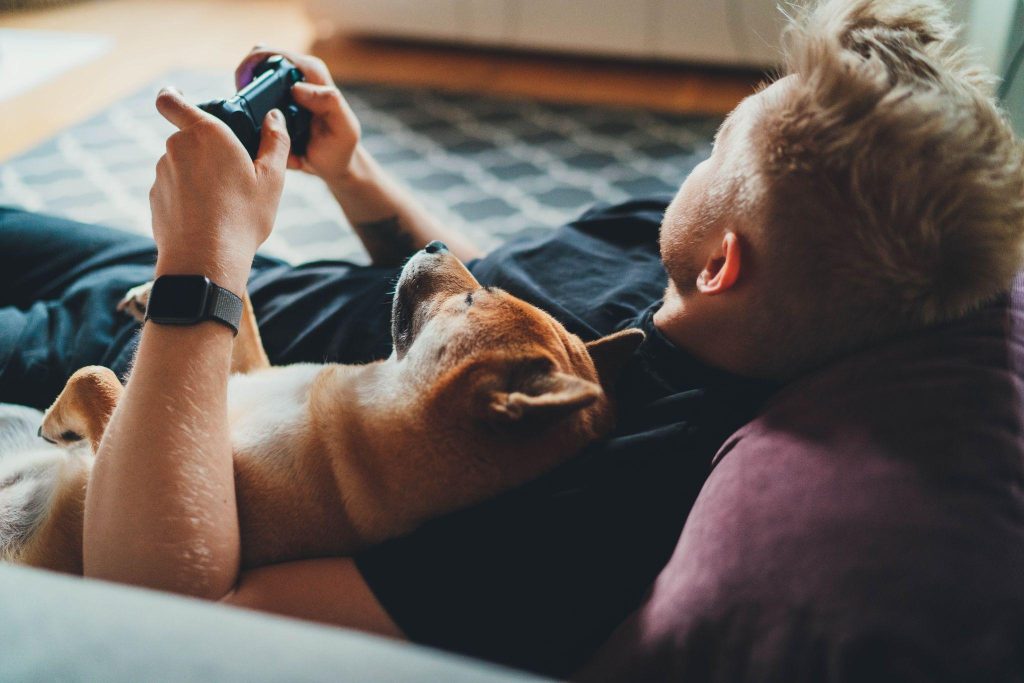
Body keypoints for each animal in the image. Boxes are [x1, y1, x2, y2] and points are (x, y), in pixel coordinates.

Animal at [0, 248, 638, 573]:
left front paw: (58, 422)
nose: (434, 245)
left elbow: (98, 379)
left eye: (471, 298)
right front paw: (147, 296)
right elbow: (240, 311)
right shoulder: (233, 375)